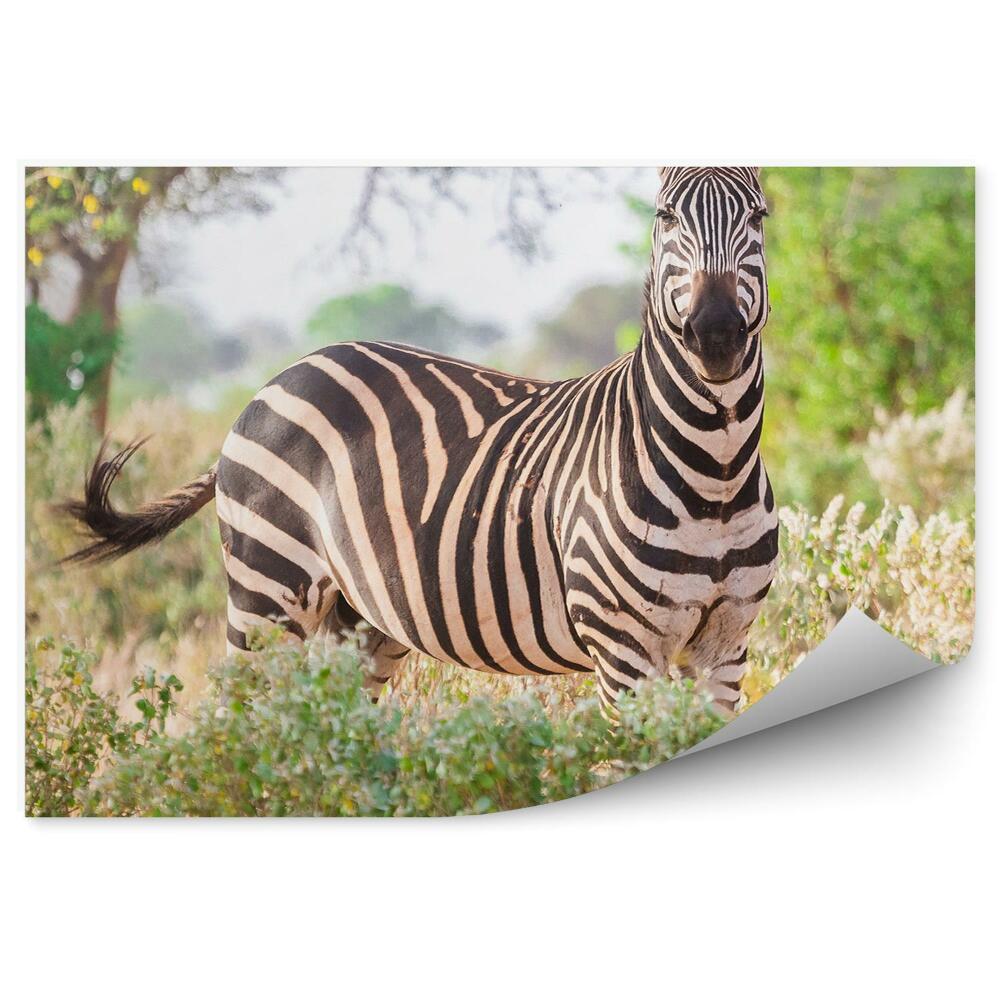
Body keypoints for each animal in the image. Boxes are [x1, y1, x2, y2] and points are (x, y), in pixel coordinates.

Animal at [65, 166, 779, 716]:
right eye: (666, 216)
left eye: (760, 215)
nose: (716, 333)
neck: (714, 472)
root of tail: (277, 380)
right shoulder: (624, 652)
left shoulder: (725, 648)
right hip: (266, 589)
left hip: (356, 621)